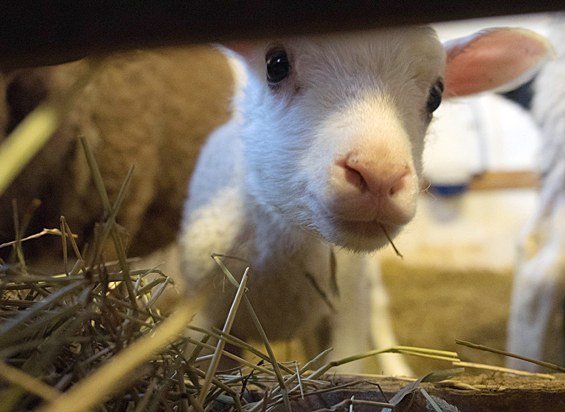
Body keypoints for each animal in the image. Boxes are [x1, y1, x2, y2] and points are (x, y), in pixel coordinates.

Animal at [178, 25, 548, 374]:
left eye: (436, 96)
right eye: (276, 65)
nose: (379, 175)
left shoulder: (347, 310)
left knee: (380, 314)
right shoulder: (204, 314)